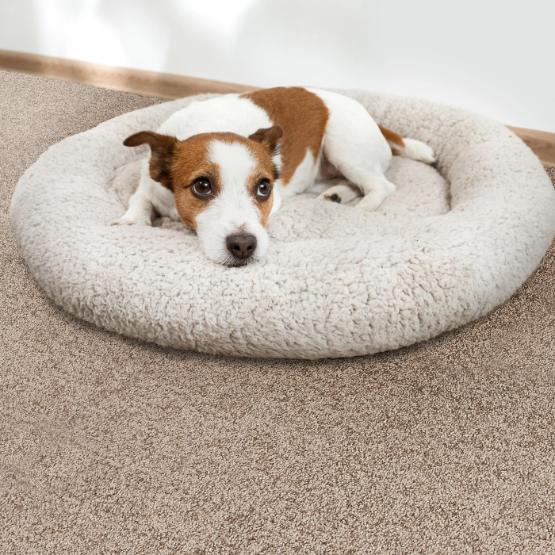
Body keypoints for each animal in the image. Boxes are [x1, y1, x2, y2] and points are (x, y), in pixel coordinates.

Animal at [115, 87, 435, 266]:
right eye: (202, 186)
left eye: (263, 188)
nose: (244, 245)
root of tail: (375, 123)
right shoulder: (149, 186)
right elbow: (139, 199)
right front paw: (132, 220)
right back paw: (336, 195)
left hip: (344, 146)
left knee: (381, 185)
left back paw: (361, 207)